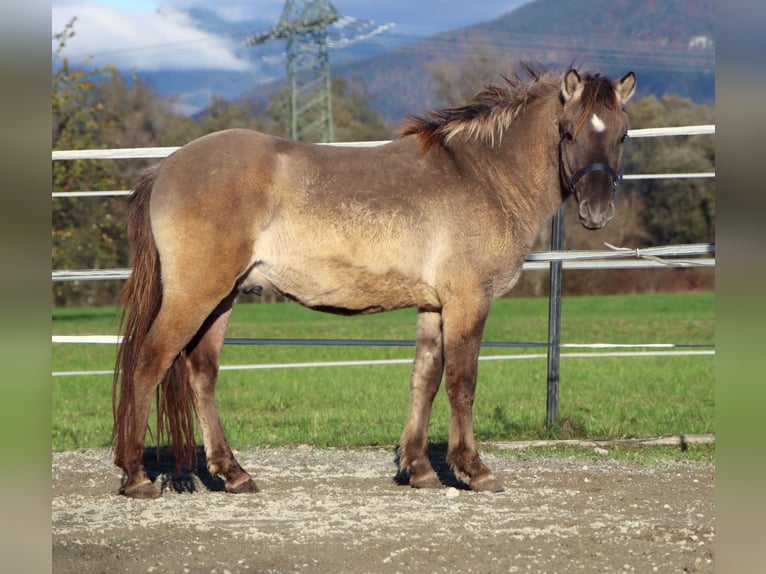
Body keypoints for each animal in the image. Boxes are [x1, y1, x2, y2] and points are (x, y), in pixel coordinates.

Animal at [112, 65, 636, 498]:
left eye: (622, 135)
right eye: (568, 132)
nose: (597, 212)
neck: (481, 175)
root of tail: (166, 166)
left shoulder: (434, 306)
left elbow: (424, 380)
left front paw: (419, 469)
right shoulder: (468, 301)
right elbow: (462, 382)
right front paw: (474, 470)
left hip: (221, 300)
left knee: (201, 375)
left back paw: (233, 473)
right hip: (196, 295)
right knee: (149, 361)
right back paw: (136, 476)